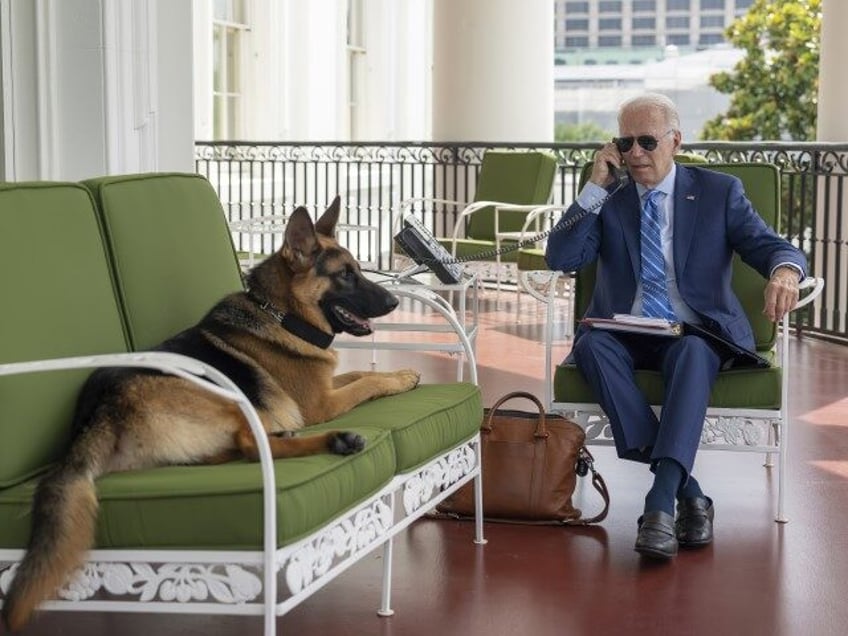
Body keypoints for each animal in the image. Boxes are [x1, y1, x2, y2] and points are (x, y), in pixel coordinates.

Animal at [3, 195, 420, 632]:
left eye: (357, 270)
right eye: (345, 276)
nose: (394, 302)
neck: (281, 314)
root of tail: (96, 413)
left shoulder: (324, 388)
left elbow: (358, 373)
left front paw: (394, 373)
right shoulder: (320, 405)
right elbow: (363, 384)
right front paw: (401, 377)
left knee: (231, 450)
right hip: (227, 400)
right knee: (248, 445)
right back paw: (335, 440)